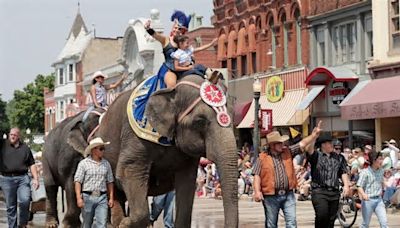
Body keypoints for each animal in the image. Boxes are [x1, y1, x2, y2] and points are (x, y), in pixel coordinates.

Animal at [96, 74, 238, 227]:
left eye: (233, 117)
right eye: (200, 121)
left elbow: (187, 183)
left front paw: (126, 222)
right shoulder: (134, 134)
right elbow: (128, 171)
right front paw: (125, 223)